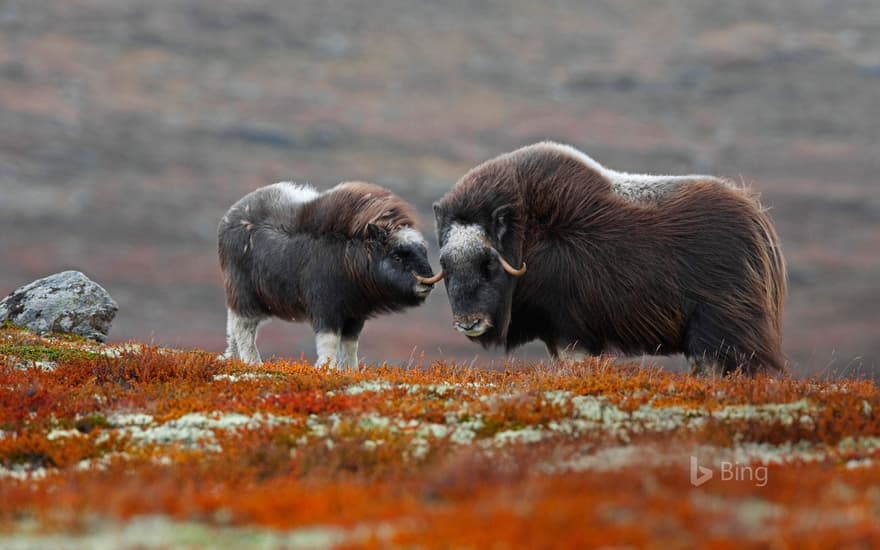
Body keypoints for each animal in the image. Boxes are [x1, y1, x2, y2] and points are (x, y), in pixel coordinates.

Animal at [220, 182, 440, 370]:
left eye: (423, 250)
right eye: (397, 256)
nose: (427, 282)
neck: (352, 254)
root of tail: (229, 218)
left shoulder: (355, 313)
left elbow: (351, 344)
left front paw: (351, 371)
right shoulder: (327, 308)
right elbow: (330, 341)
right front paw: (327, 368)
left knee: (233, 326)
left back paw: (231, 358)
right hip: (245, 295)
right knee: (244, 327)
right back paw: (253, 363)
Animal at [432, 142, 784, 376]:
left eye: (488, 263)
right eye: (445, 266)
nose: (468, 323)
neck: (529, 236)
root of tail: (756, 219)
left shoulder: (570, 330)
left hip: (720, 330)